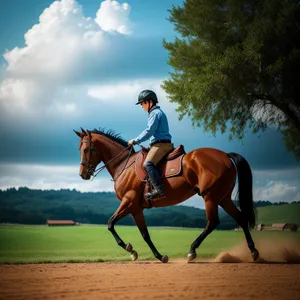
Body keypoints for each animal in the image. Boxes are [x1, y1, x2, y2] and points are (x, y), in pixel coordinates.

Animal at [74, 127, 258, 264]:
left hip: (210, 197)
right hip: (223, 198)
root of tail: (225, 155)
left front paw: (129, 249)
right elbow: (145, 234)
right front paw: (158, 256)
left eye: (86, 149)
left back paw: (192, 251)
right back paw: (254, 252)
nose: (82, 174)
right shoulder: (136, 209)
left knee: (212, 223)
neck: (124, 165)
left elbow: (110, 224)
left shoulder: (128, 201)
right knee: (241, 219)